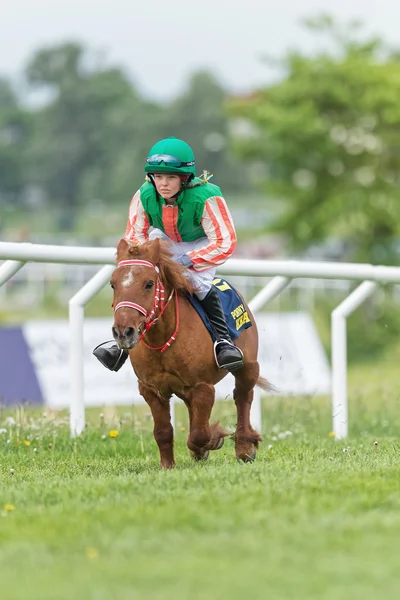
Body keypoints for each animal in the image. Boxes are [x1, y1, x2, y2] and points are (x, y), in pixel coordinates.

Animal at [111, 237, 270, 466]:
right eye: (113, 284)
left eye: (149, 284)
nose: (123, 332)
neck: (162, 340)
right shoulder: (151, 389)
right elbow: (163, 432)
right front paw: (167, 466)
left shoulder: (203, 387)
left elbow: (199, 435)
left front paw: (213, 440)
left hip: (248, 365)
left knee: (242, 395)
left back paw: (245, 446)